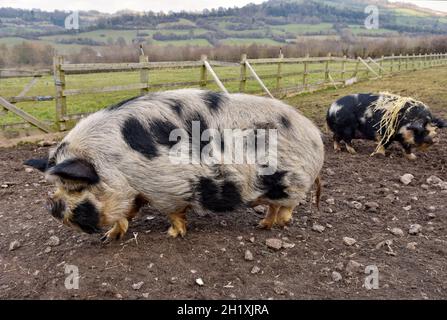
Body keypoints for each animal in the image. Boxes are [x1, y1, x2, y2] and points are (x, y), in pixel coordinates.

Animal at [24, 89, 324, 241]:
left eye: (75, 187)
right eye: (58, 186)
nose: (51, 204)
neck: (115, 164)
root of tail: (315, 136)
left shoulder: (165, 187)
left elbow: (173, 213)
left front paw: (172, 234)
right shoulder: (135, 191)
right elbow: (127, 213)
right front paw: (109, 237)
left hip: (289, 183)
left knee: (286, 209)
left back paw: (271, 226)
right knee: (274, 208)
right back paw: (262, 226)